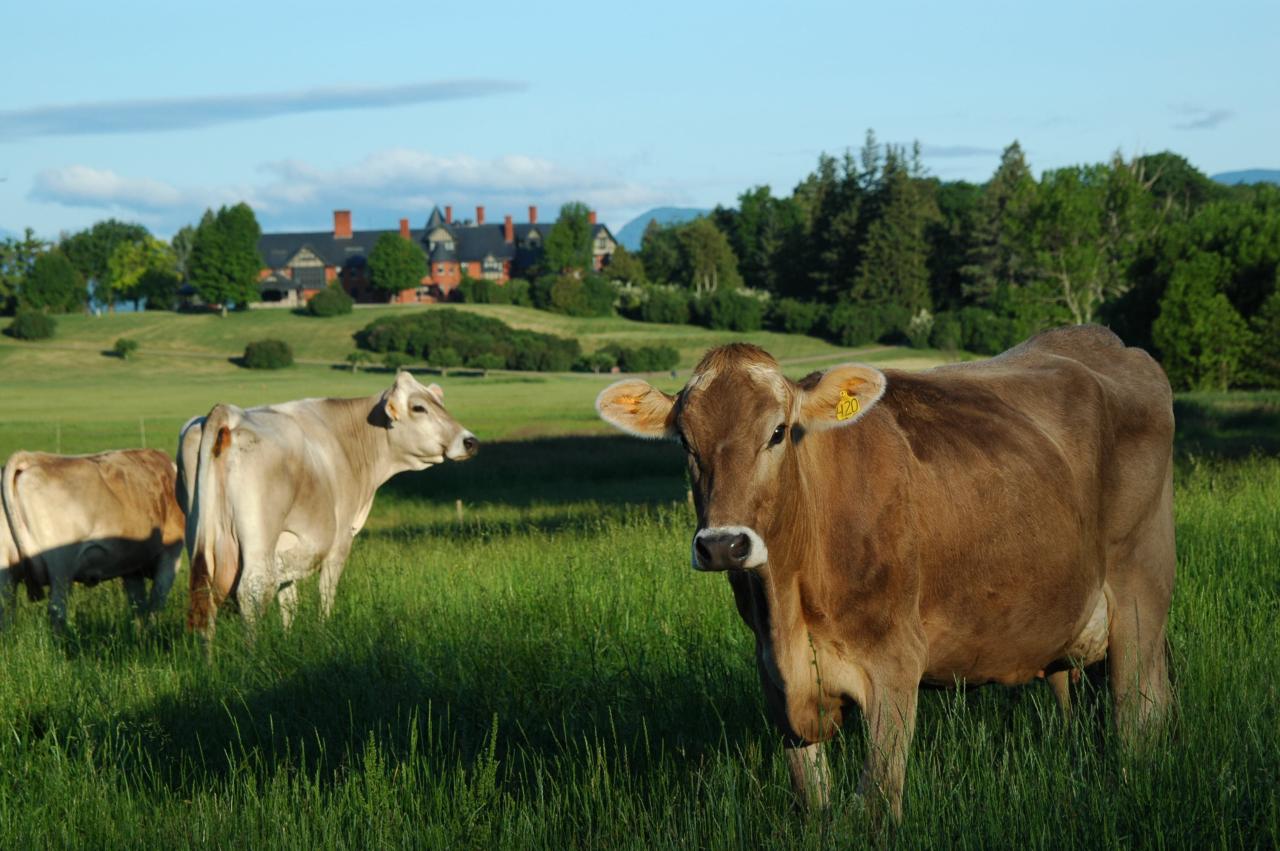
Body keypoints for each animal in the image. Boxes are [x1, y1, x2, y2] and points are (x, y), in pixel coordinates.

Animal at [179, 368, 476, 639]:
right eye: (418, 407)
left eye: (440, 403)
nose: (470, 441)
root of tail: (228, 413)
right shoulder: (340, 539)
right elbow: (325, 590)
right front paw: (324, 634)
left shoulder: (289, 543)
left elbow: (289, 600)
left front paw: (288, 639)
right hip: (257, 536)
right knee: (253, 590)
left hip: (199, 533)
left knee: (205, 596)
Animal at [593, 325, 1172, 819]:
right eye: (685, 442)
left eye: (778, 432)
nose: (722, 545)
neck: (789, 606)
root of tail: (1104, 341)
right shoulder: (775, 680)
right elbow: (813, 802)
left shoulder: (895, 662)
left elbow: (875, 804)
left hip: (1140, 593)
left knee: (1139, 720)